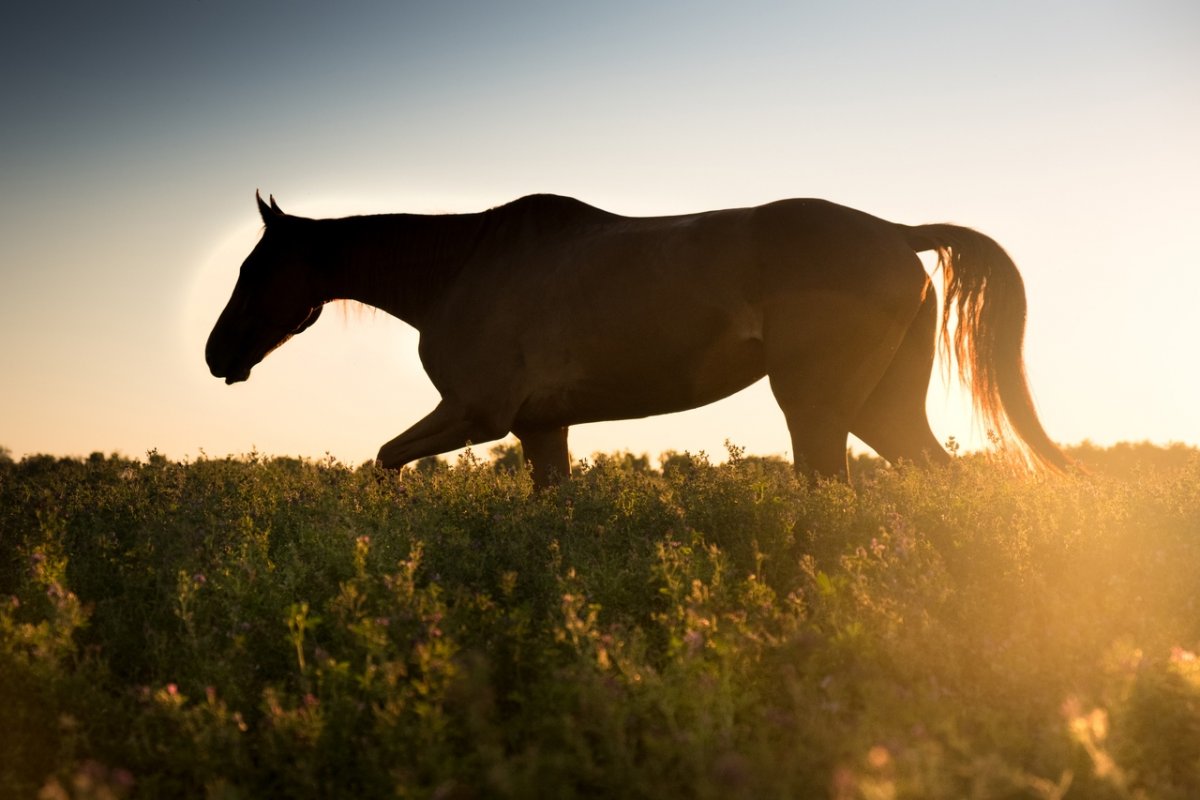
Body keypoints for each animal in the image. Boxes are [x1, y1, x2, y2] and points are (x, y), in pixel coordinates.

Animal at [208, 191, 1070, 489]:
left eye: (254, 269)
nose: (218, 355)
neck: (462, 270)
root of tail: (897, 233)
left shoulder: (477, 414)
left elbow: (385, 460)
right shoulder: (540, 428)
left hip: (820, 410)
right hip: (882, 411)